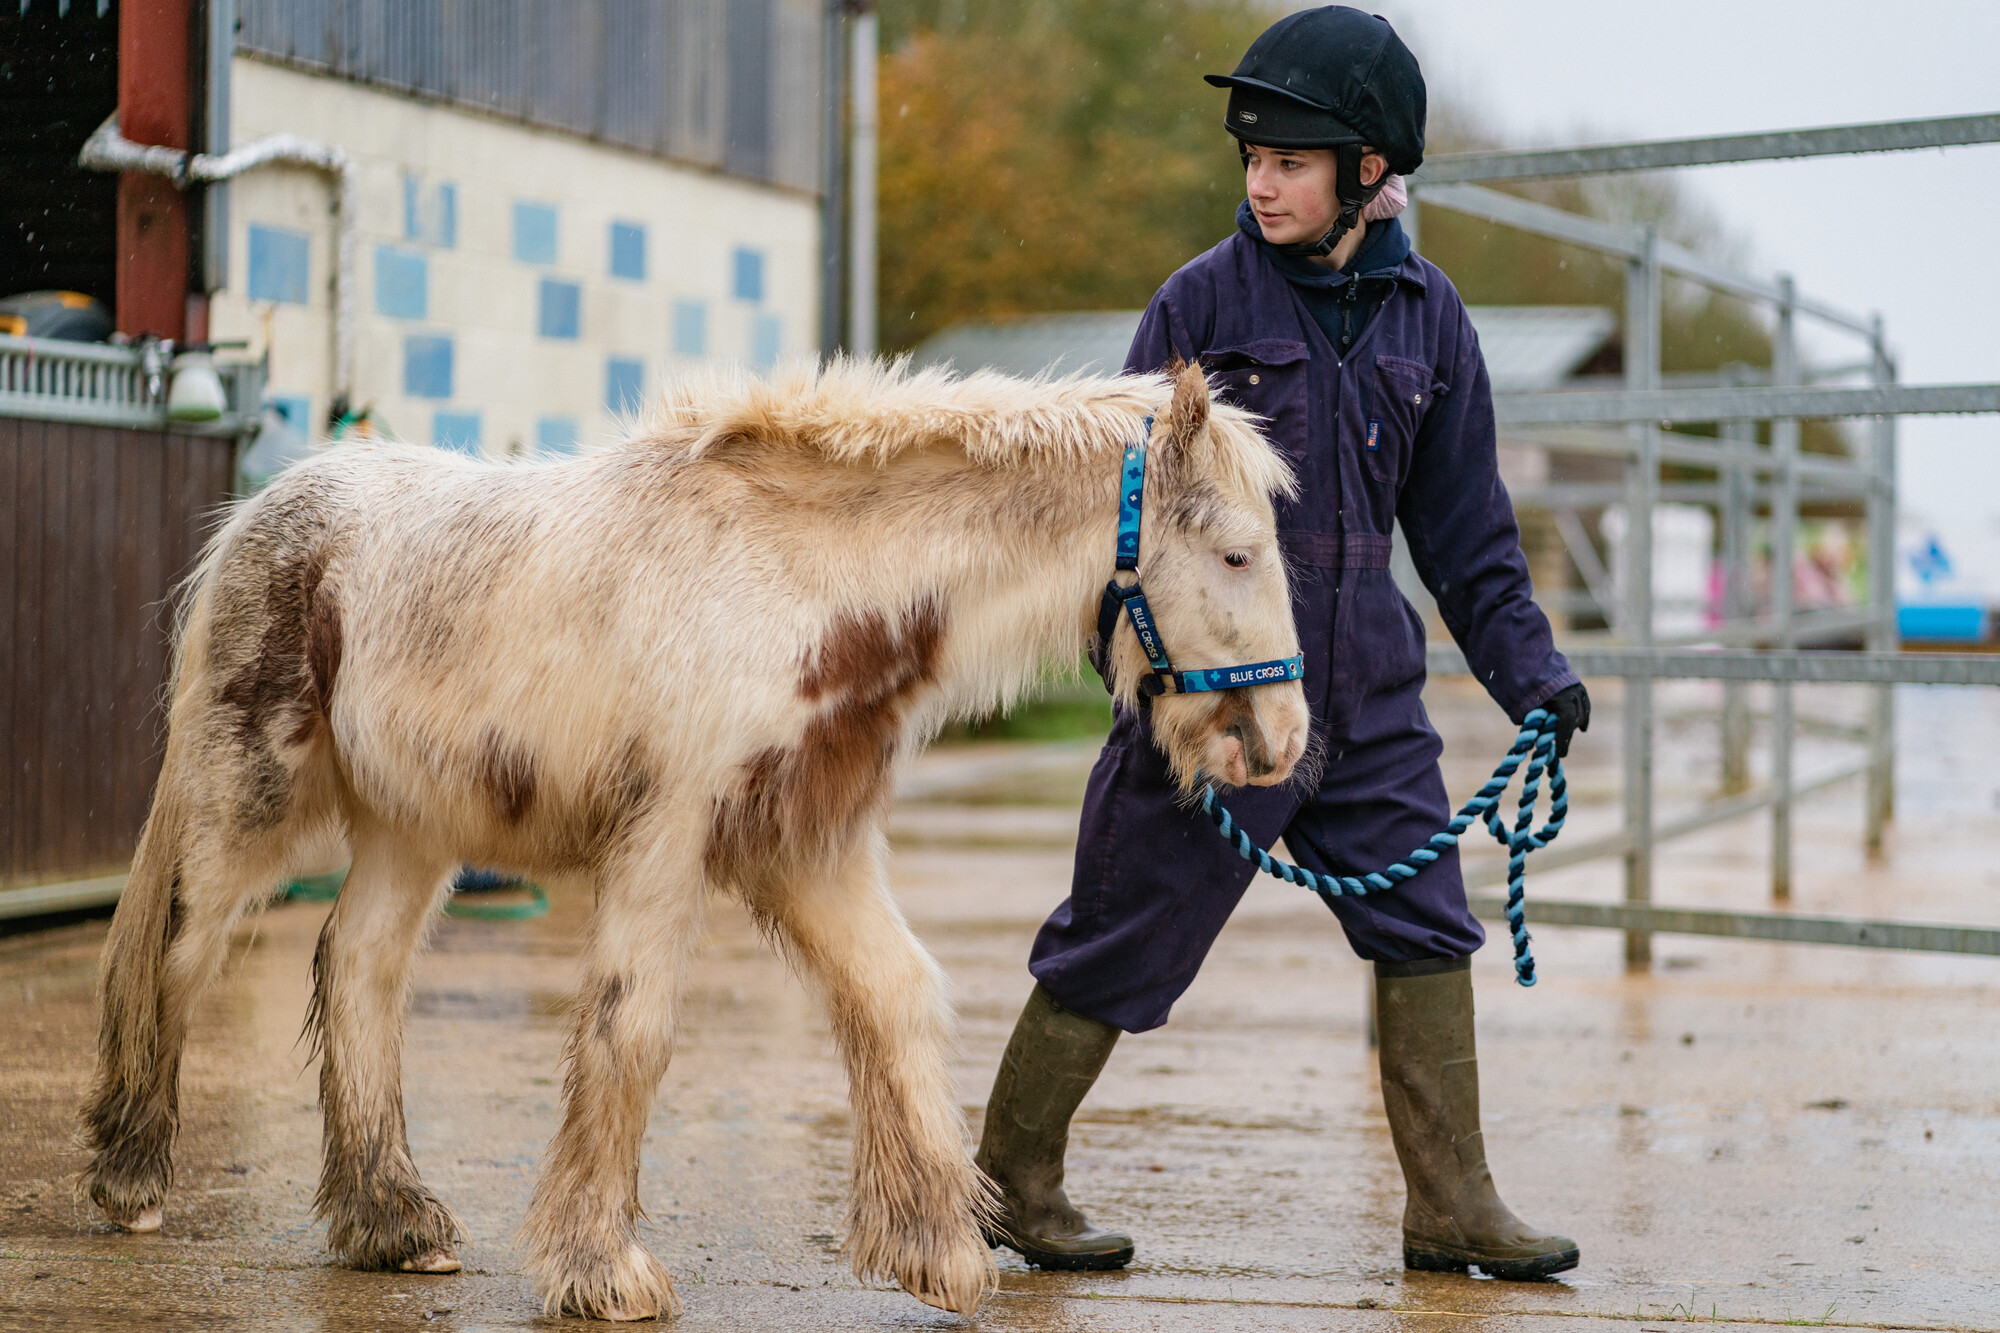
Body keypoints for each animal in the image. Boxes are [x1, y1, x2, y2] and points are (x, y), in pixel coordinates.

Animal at [77, 357, 1310, 1320]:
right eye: (1238, 554)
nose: (1284, 741)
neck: (792, 578)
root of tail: (268, 508)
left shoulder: (810, 848)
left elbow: (896, 995)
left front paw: (935, 1249)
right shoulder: (665, 833)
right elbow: (633, 1028)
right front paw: (603, 1270)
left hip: (412, 827)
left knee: (359, 967)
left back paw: (393, 1221)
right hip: (253, 792)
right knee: (178, 946)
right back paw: (131, 1178)